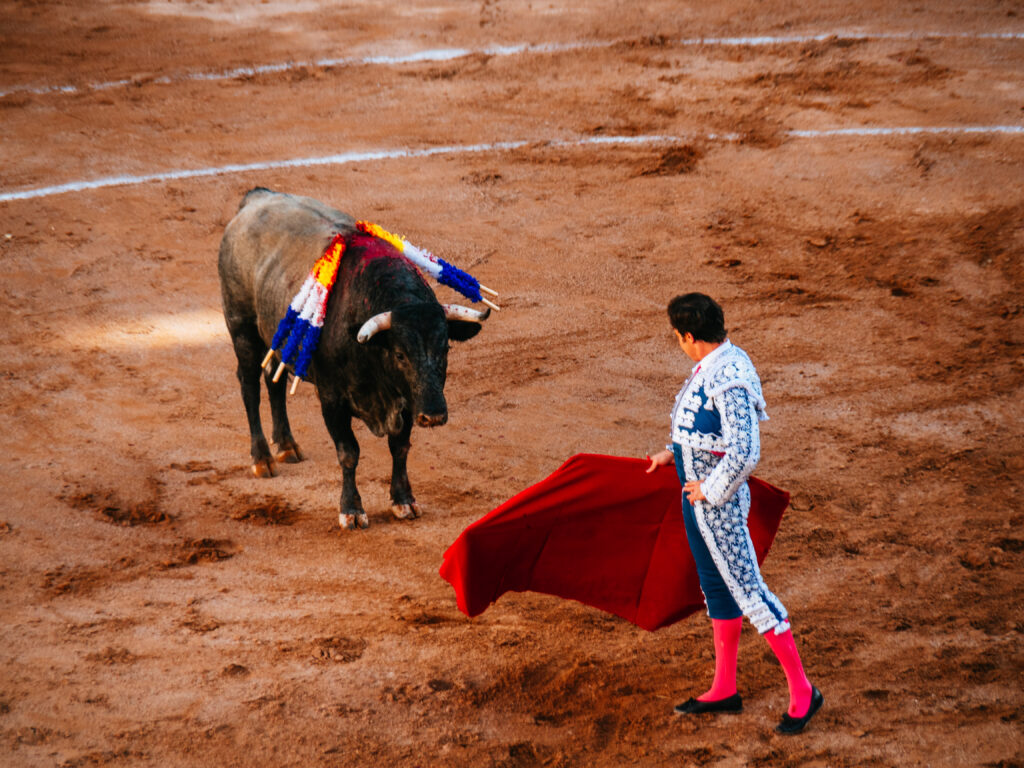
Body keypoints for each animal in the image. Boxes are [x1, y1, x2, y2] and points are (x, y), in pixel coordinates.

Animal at [217, 189, 487, 532]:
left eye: (445, 349)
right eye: (400, 354)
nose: (434, 415)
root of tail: (256, 198)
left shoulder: (406, 400)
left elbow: (400, 447)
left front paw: (404, 501)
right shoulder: (332, 399)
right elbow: (349, 452)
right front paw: (352, 510)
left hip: (279, 336)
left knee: (273, 380)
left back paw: (287, 446)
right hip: (242, 330)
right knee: (250, 386)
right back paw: (262, 458)